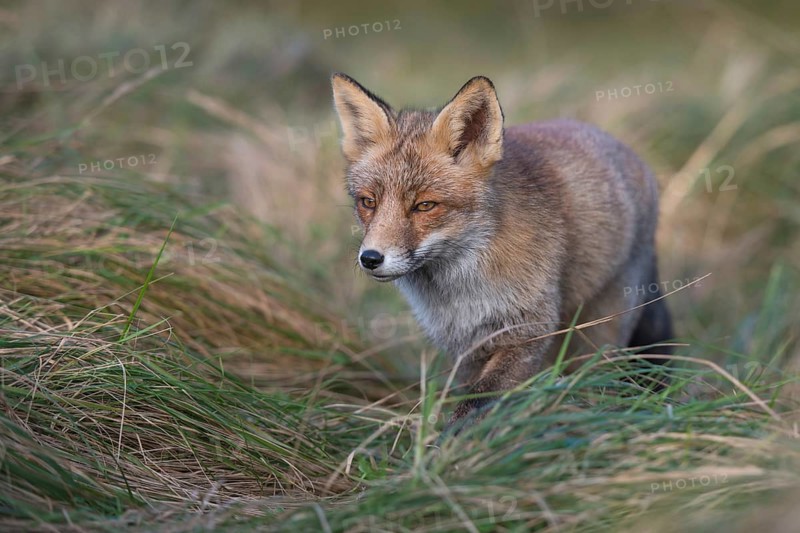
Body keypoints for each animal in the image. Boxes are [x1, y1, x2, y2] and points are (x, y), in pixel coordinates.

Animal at [331, 73, 674, 431]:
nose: (370, 258)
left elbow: (478, 403)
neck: (460, 291)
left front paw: (453, 444)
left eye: (425, 205)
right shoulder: (465, 348)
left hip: (601, 328)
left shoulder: (526, 333)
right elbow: (470, 396)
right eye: (368, 202)